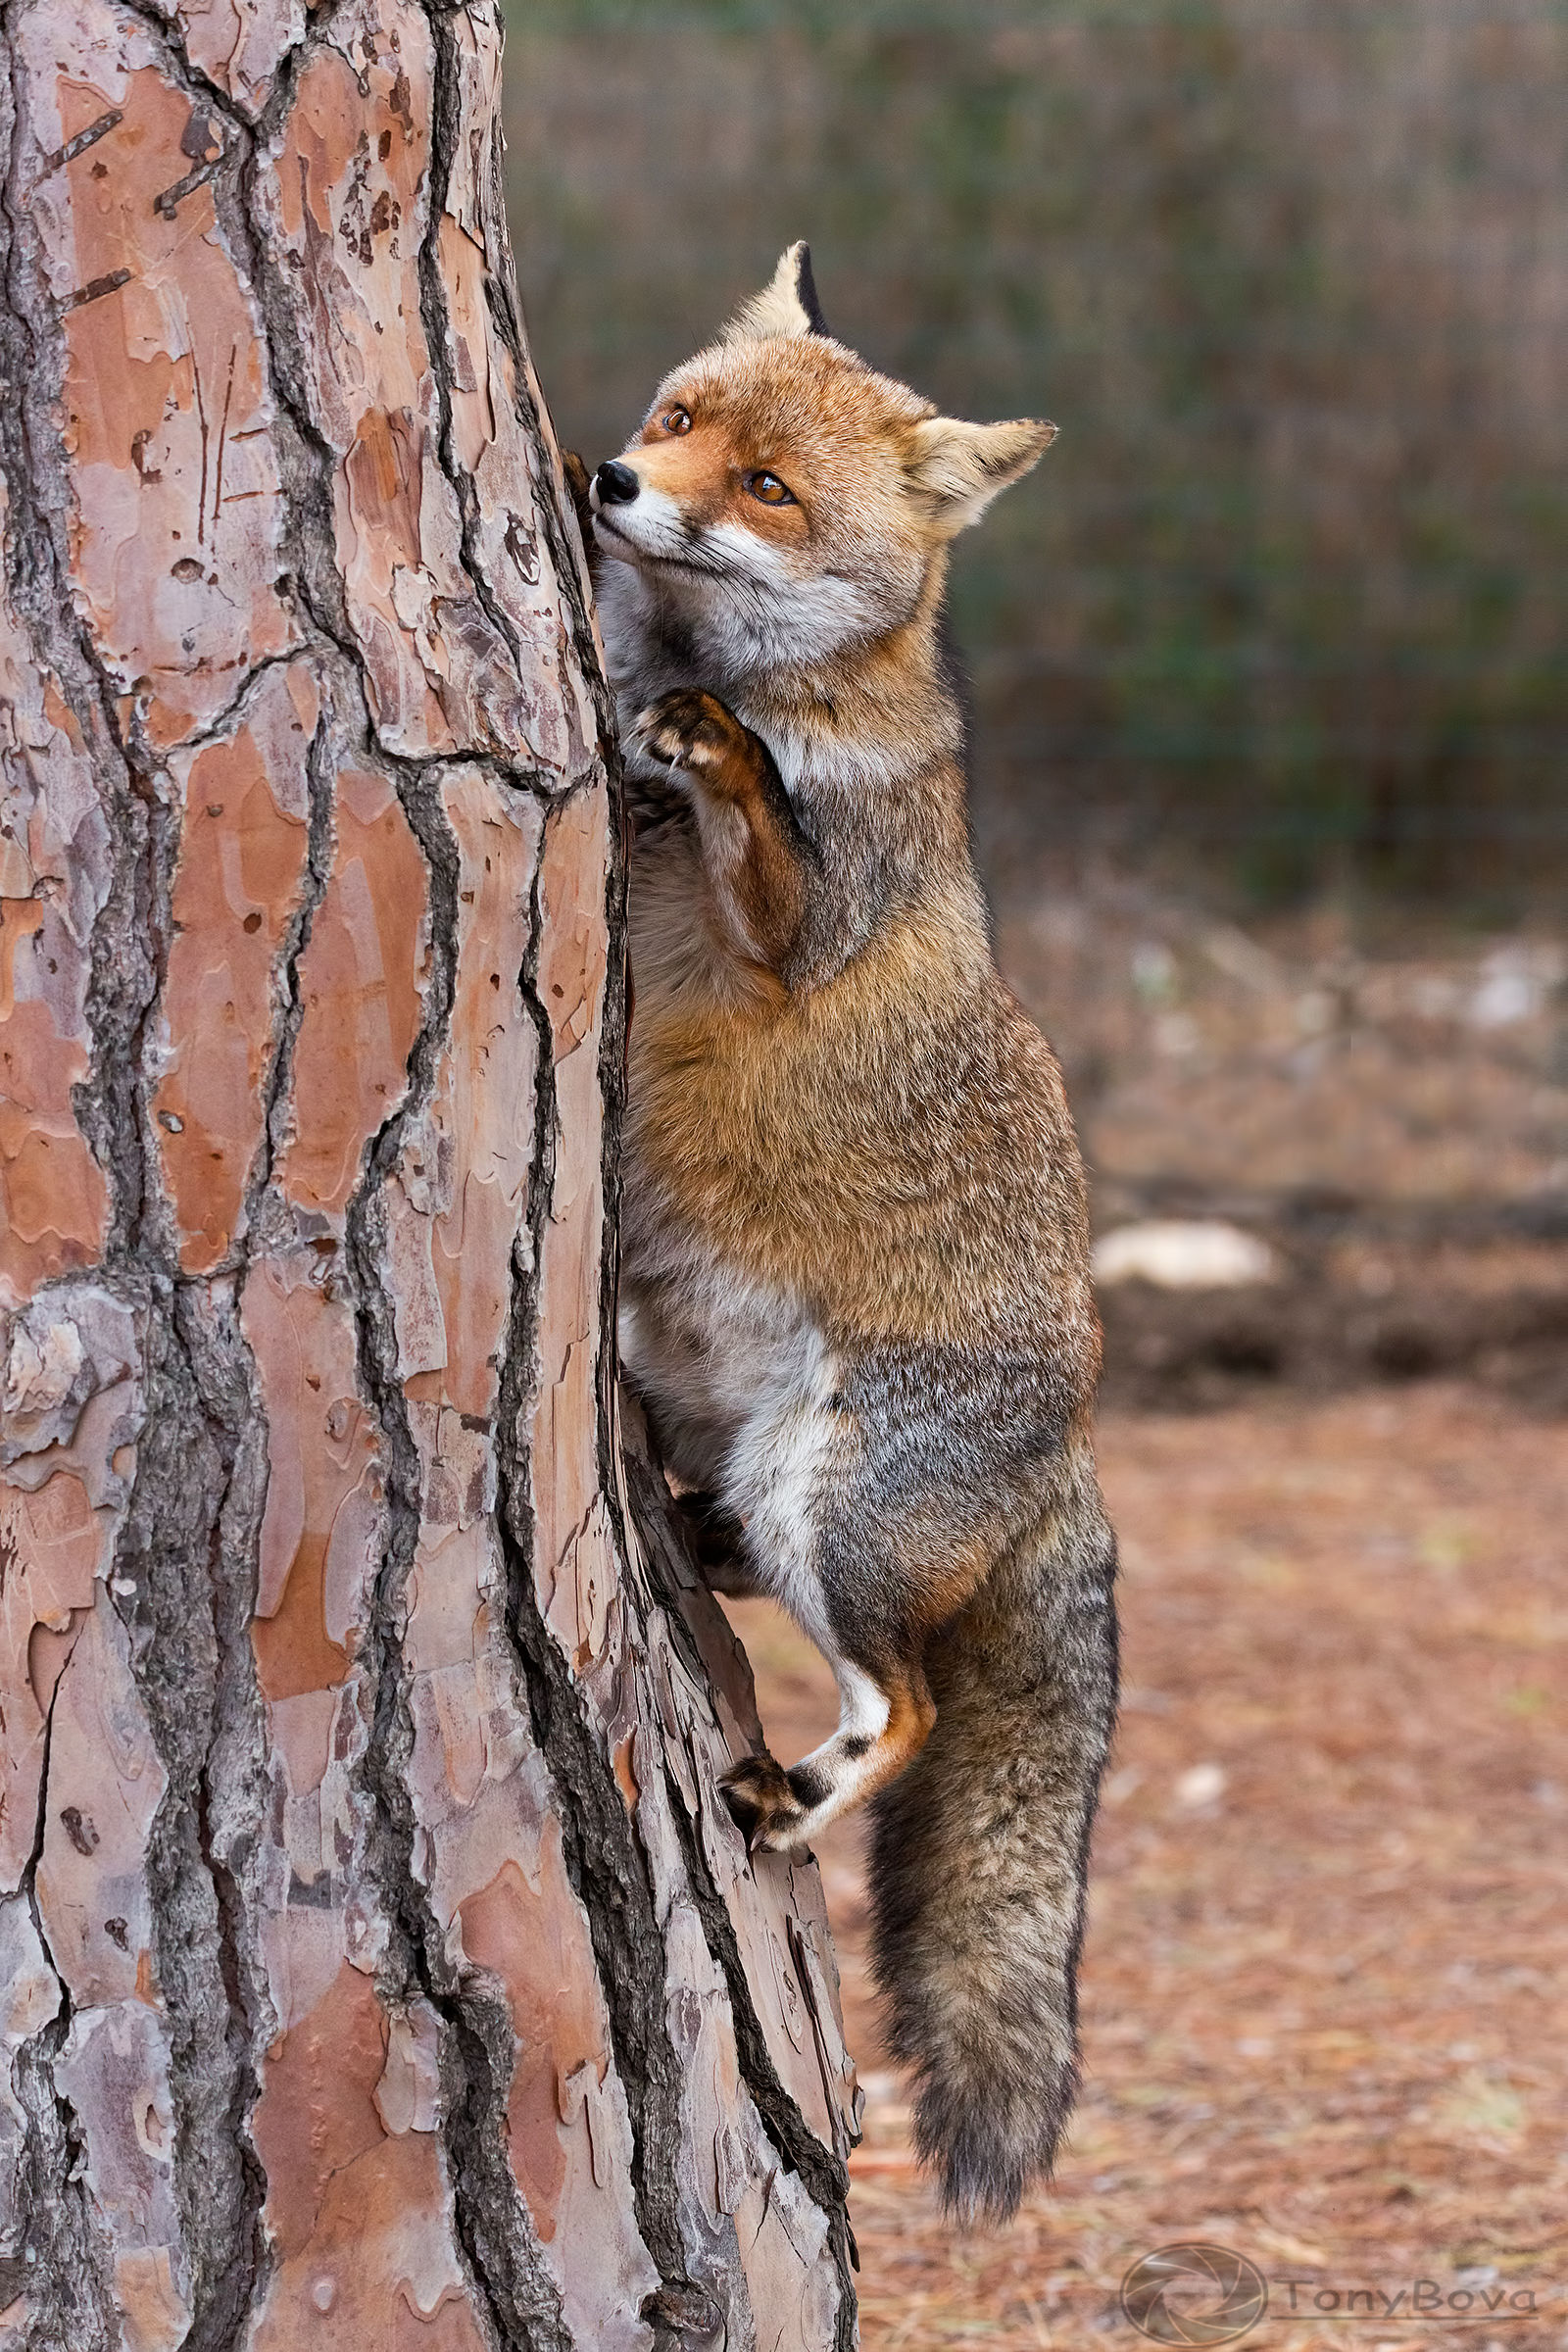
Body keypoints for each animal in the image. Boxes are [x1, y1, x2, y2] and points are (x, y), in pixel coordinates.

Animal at [565, 244, 1119, 2226]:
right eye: (675, 421)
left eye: (770, 489)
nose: (606, 484)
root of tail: (1077, 1436)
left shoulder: (799, 932)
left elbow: (772, 838)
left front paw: (723, 753)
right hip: (746, 1471)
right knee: (738, 1565)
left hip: (841, 1516)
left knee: (922, 1714)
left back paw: (797, 1798)